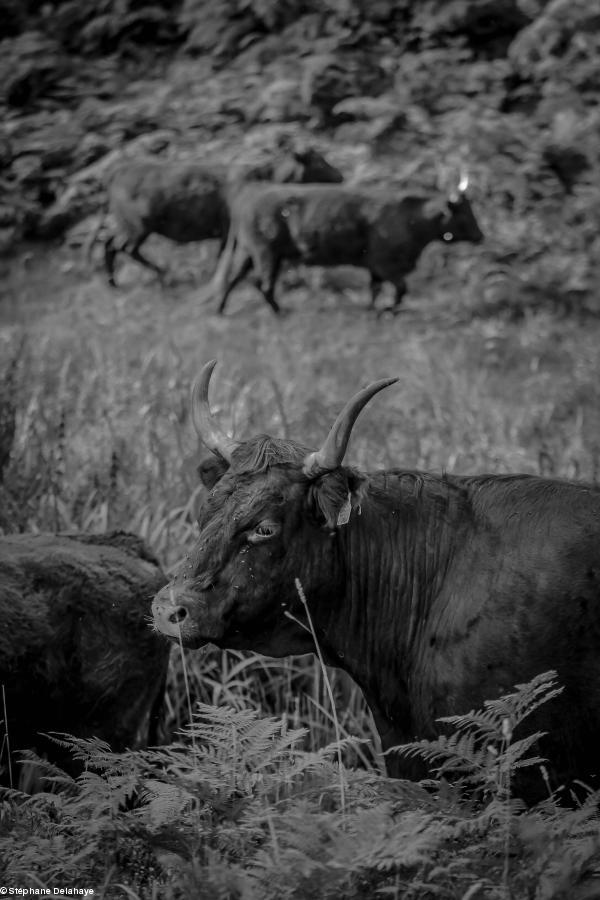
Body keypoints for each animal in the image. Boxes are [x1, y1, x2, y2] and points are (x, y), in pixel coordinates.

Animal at [89, 144, 342, 286]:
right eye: (320, 161)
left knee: (110, 245)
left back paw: (113, 282)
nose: (340, 175)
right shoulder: (230, 231)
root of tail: (116, 171)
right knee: (125, 248)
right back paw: (165, 273)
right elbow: (225, 258)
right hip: (138, 226)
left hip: (127, 225)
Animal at [211, 173, 482, 316]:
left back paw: (221, 310)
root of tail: (251, 194)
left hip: (250, 253)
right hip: (265, 252)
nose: (481, 235)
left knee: (234, 279)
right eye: (463, 213)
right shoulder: (384, 264)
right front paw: (389, 310)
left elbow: (375, 290)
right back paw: (281, 313)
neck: (411, 216)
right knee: (263, 283)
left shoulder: (376, 268)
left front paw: (374, 311)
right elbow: (401, 289)